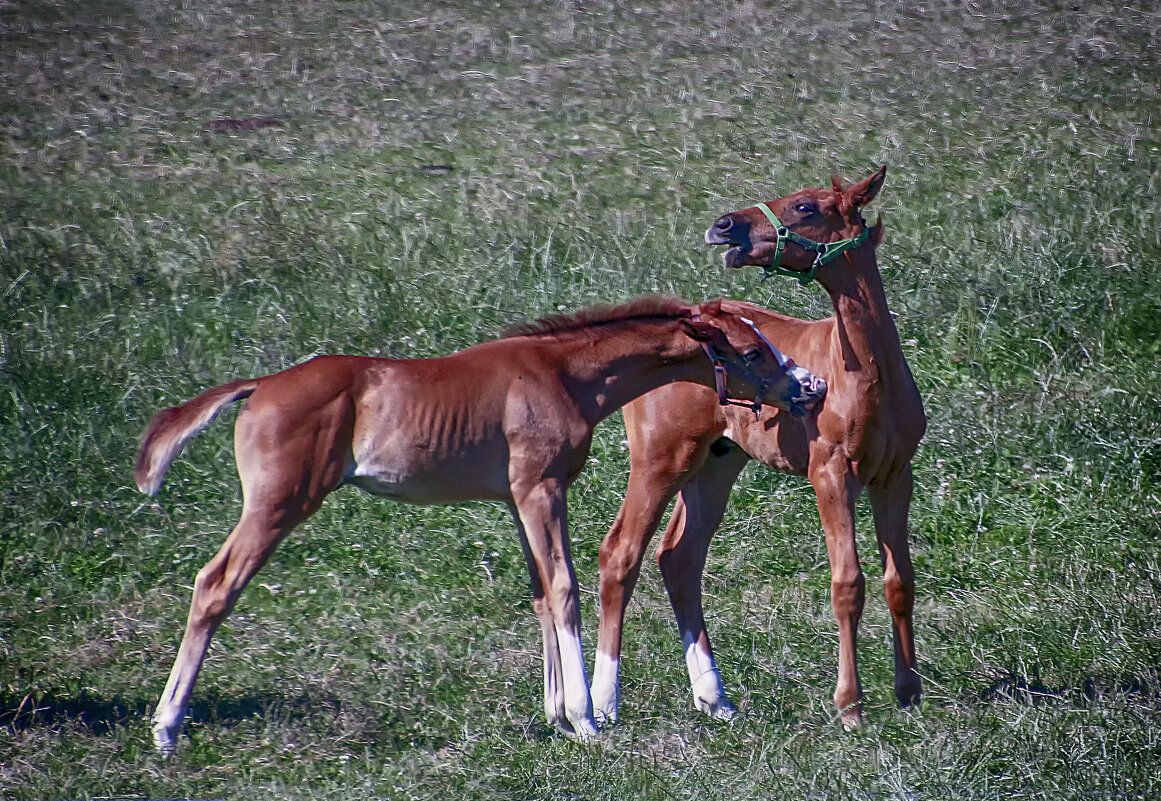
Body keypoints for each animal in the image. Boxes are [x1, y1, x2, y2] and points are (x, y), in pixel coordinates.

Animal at [135, 296, 826, 752]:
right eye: (751, 350)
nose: (810, 386)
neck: (564, 375)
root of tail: (258, 387)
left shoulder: (519, 498)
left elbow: (541, 594)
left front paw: (558, 716)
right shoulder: (541, 488)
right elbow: (566, 590)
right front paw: (587, 720)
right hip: (278, 504)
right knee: (214, 584)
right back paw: (166, 727)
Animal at [589, 169, 924, 729]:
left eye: (806, 206)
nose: (724, 226)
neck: (870, 379)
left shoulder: (895, 477)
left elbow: (900, 581)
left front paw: (910, 693)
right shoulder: (831, 474)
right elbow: (847, 583)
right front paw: (849, 706)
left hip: (714, 464)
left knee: (679, 557)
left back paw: (714, 698)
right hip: (661, 459)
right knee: (621, 553)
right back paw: (603, 703)